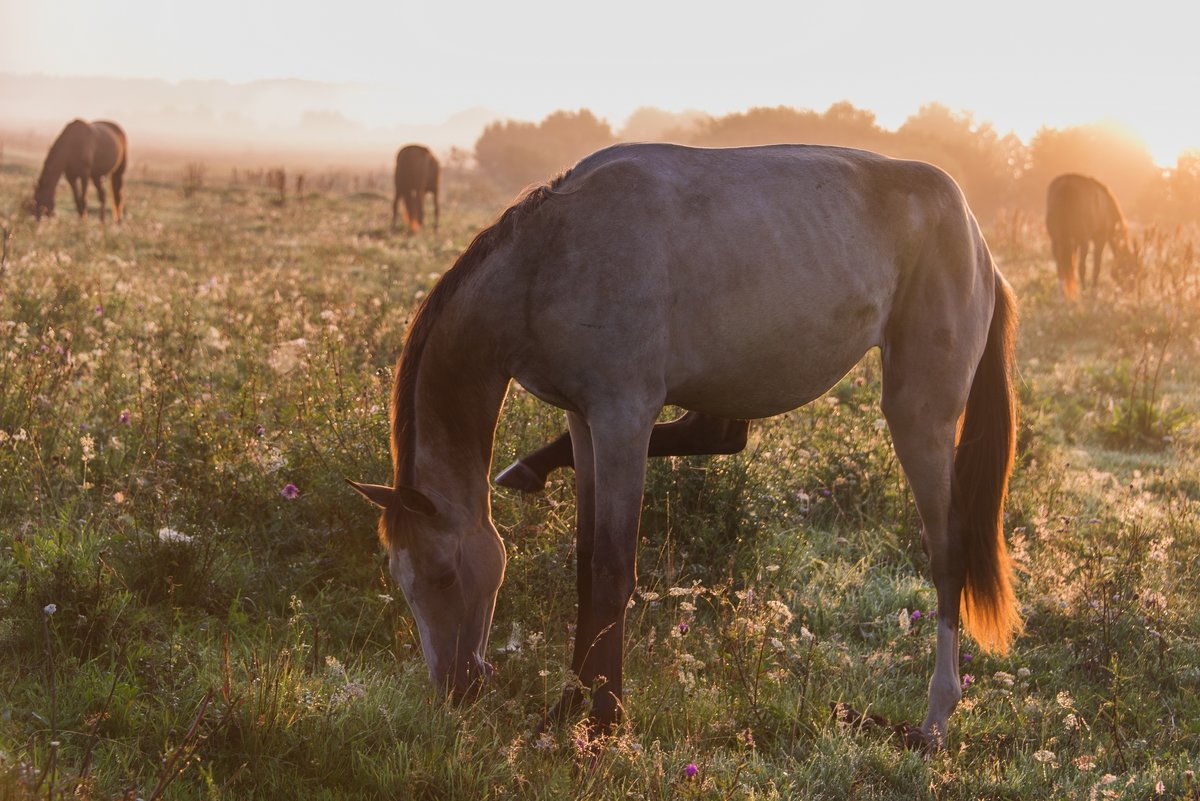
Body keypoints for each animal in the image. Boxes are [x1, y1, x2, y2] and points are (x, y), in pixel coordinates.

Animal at [348, 143, 1022, 753]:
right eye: (402, 580)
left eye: (442, 574)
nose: (454, 689)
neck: (547, 261)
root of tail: (979, 241)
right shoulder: (586, 420)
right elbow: (586, 565)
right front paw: (568, 706)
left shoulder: (622, 417)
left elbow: (611, 570)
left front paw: (604, 721)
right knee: (720, 436)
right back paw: (528, 469)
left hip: (919, 415)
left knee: (948, 553)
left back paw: (935, 720)